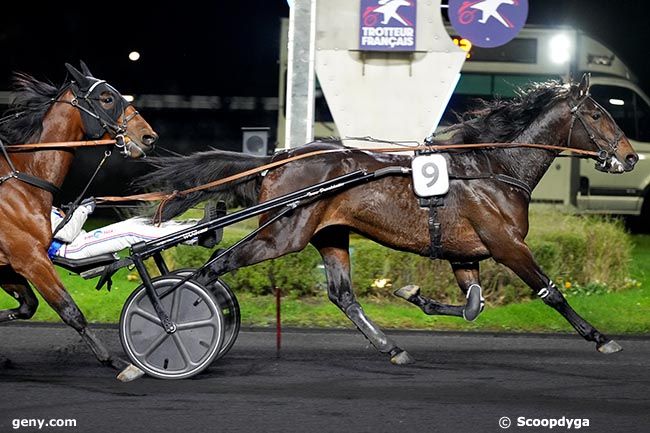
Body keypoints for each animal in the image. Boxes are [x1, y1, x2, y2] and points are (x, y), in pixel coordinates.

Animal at [0, 62, 157, 380]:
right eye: (107, 98)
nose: (149, 136)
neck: (21, 177)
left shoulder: (9, 264)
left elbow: (28, 307)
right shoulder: (30, 258)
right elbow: (70, 310)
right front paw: (119, 363)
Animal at [140, 77, 632, 364]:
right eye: (597, 114)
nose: (629, 157)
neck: (492, 168)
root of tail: (277, 160)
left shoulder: (464, 254)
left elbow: (473, 305)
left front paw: (414, 295)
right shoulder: (507, 245)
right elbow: (551, 292)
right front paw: (600, 337)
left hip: (330, 235)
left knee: (343, 296)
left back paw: (391, 347)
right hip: (282, 234)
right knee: (214, 268)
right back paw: (171, 323)